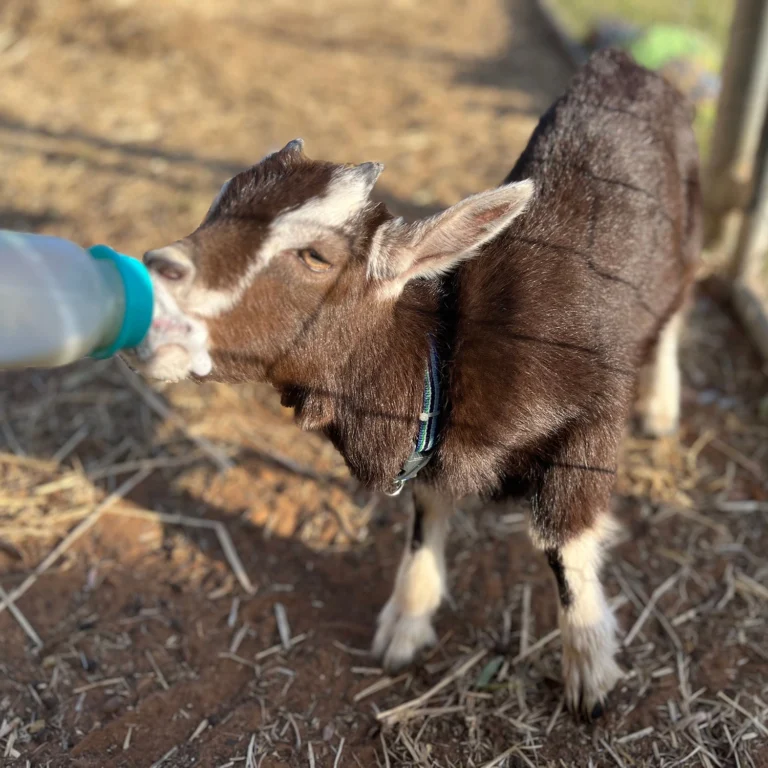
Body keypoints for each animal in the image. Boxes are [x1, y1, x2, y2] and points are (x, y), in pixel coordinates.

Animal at [134, 49, 704, 720]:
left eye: (315, 257)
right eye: (218, 204)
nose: (151, 288)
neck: (447, 350)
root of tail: (625, 62)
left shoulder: (590, 424)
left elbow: (563, 545)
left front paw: (590, 672)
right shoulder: (431, 450)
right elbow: (426, 515)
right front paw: (404, 625)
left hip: (687, 237)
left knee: (678, 309)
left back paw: (661, 407)